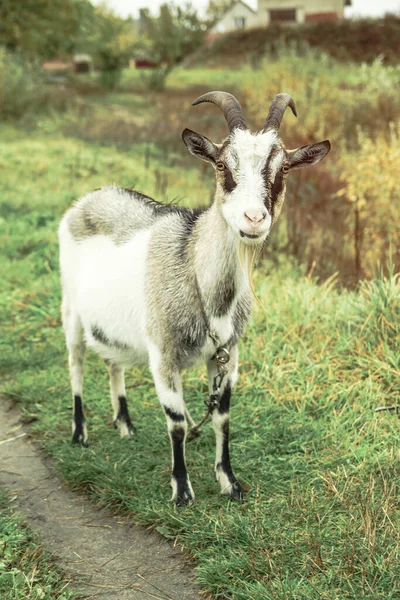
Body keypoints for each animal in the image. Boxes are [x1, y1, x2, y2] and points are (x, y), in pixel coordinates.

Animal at [57, 91, 330, 504]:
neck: (202, 282)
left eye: (282, 169)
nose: (254, 219)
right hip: (71, 308)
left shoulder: (228, 353)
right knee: (75, 364)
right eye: (221, 164)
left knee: (113, 362)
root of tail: (90, 199)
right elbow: (176, 422)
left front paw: (229, 482)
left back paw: (125, 425)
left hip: (112, 324)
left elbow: (222, 417)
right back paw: (79, 432)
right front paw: (182, 490)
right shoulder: (163, 352)